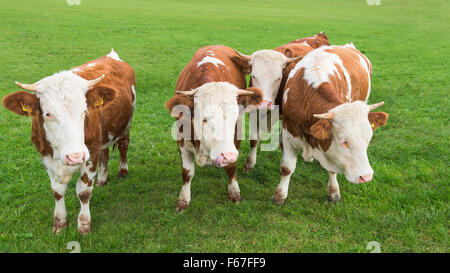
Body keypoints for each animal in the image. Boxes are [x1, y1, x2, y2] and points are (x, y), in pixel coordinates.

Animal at [2, 50, 135, 233]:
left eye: (84, 111)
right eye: (48, 114)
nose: (75, 156)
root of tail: (111, 55)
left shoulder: (90, 153)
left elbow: (84, 191)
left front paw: (84, 225)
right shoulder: (45, 155)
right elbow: (57, 191)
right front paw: (59, 223)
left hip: (126, 124)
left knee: (123, 145)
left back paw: (122, 171)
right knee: (105, 152)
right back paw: (102, 178)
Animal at [165, 44, 264, 210]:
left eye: (235, 117)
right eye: (204, 119)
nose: (227, 155)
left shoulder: (235, 140)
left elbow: (231, 167)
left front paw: (234, 193)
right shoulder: (181, 141)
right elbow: (187, 172)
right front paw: (183, 200)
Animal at [234, 31, 332, 171]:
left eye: (279, 78)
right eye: (253, 76)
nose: (264, 104)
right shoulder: (253, 112)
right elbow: (254, 139)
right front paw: (249, 164)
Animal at [272, 43, 388, 204]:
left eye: (368, 139)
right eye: (343, 141)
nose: (366, 177)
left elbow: (332, 169)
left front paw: (333, 191)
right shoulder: (288, 134)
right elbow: (287, 168)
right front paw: (280, 195)